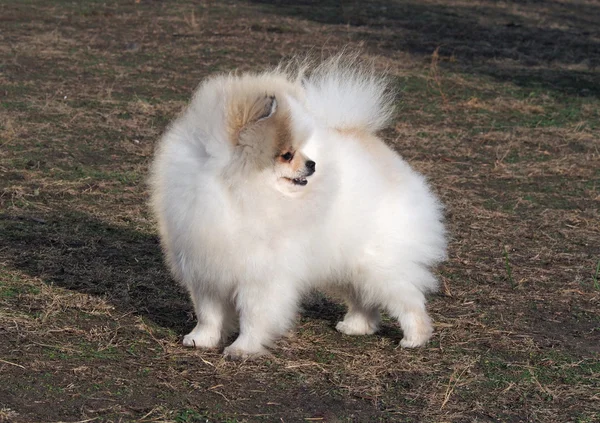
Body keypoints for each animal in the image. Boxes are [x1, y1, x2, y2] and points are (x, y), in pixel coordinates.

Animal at [151, 56, 446, 360]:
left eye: (302, 151)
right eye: (287, 154)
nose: (312, 164)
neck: (233, 189)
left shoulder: (261, 275)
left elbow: (253, 316)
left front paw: (242, 348)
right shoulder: (205, 268)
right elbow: (208, 313)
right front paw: (201, 339)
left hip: (377, 263)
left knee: (408, 298)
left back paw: (414, 337)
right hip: (346, 262)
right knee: (363, 297)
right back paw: (356, 326)